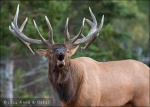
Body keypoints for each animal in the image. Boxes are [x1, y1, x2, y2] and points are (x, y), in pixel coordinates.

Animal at [9, 4, 150, 106]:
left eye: (67, 51)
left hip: (143, 99)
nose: (60, 53)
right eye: (51, 52)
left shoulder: (93, 103)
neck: (70, 96)